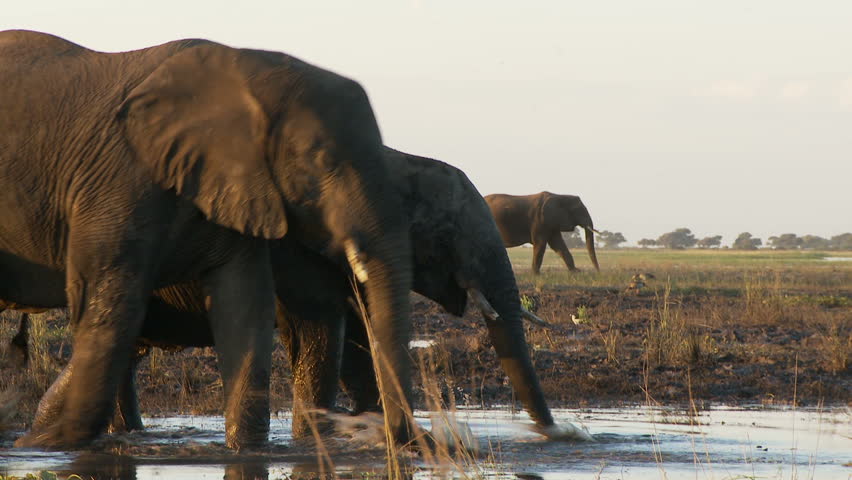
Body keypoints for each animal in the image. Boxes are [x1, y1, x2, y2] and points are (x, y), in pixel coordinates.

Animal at [0, 30, 413, 450]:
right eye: (324, 160)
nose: (395, 437)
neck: (245, 73)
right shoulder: (117, 184)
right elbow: (111, 304)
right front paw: (50, 445)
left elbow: (244, 303)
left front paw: (246, 451)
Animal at [8, 148, 581, 444]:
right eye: (445, 232)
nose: (564, 436)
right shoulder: (294, 250)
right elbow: (321, 328)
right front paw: (319, 437)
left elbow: (354, 339)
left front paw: (357, 426)